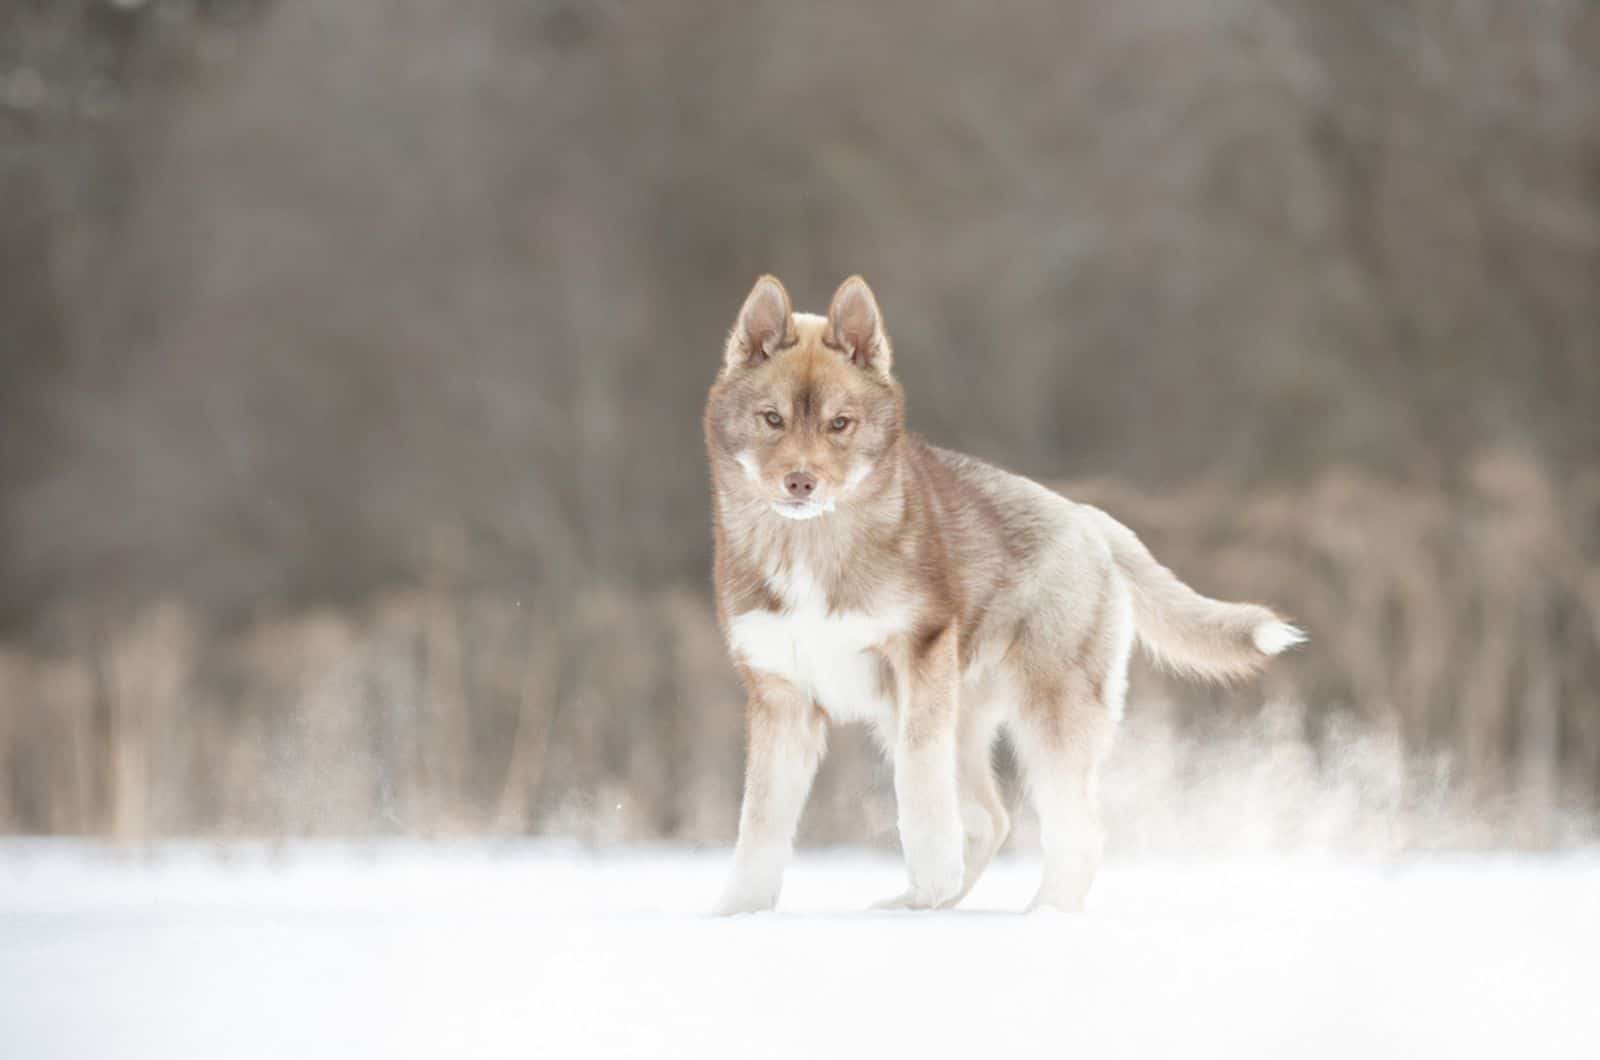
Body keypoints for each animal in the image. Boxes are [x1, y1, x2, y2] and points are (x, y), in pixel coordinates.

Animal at [704, 273, 1299, 915]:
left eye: (841, 423)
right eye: (772, 418)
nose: (801, 482)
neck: (811, 549)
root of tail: (1088, 519)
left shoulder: (917, 664)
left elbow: (918, 789)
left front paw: (933, 873)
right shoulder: (781, 697)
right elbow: (760, 825)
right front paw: (736, 914)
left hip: (1047, 716)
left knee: (1076, 832)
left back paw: (1036, 915)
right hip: (951, 716)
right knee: (992, 819)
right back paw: (920, 903)